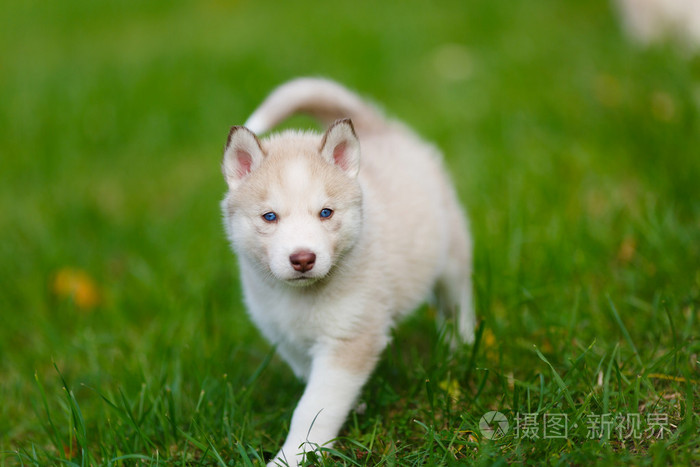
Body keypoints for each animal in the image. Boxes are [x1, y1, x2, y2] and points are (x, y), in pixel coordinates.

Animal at [221, 78, 474, 466]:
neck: (301, 298)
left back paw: (462, 345)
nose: (303, 258)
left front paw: (293, 455)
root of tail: (379, 129)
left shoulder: (350, 337)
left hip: (451, 259)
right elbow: (313, 387)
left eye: (326, 213)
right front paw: (353, 408)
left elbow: (313, 407)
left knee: (457, 301)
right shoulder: (286, 337)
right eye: (269, 216)